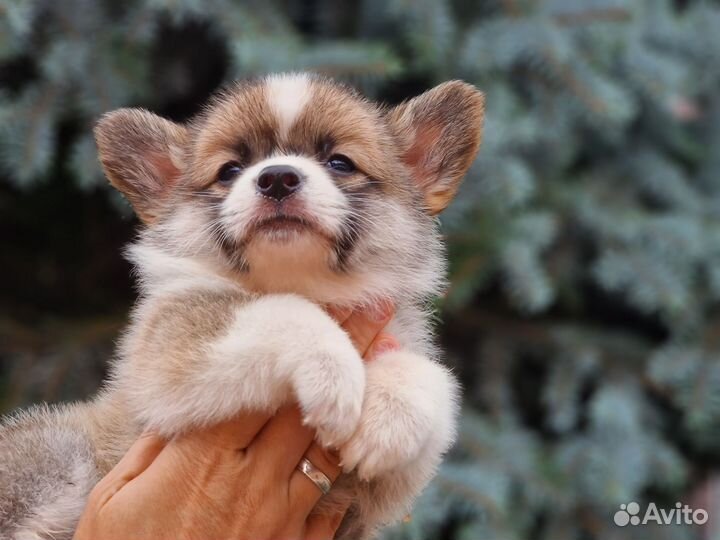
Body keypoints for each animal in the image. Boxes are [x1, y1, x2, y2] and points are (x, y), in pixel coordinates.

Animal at [1, 73, 484, 540]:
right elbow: (285, 312)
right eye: (229, 170)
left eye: (340, 163)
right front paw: (333, 375)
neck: (301, 281)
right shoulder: (170, 345)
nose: (277, 178)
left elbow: (431, 377)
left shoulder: (381, 492)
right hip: (57, 450)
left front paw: (389, 417)